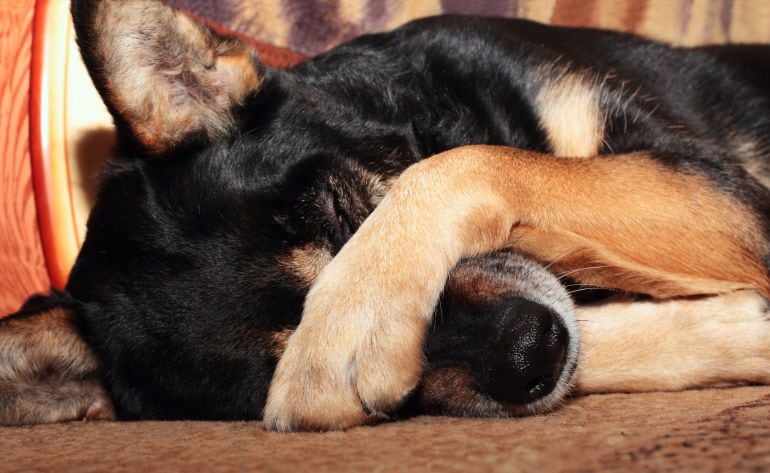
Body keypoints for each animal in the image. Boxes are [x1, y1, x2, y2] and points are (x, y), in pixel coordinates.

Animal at [1, 0, 768, 430]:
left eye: (344, 211)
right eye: (268, 375)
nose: (534, 352)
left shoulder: (724, 188)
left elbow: (466, 163)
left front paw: (354, 318)